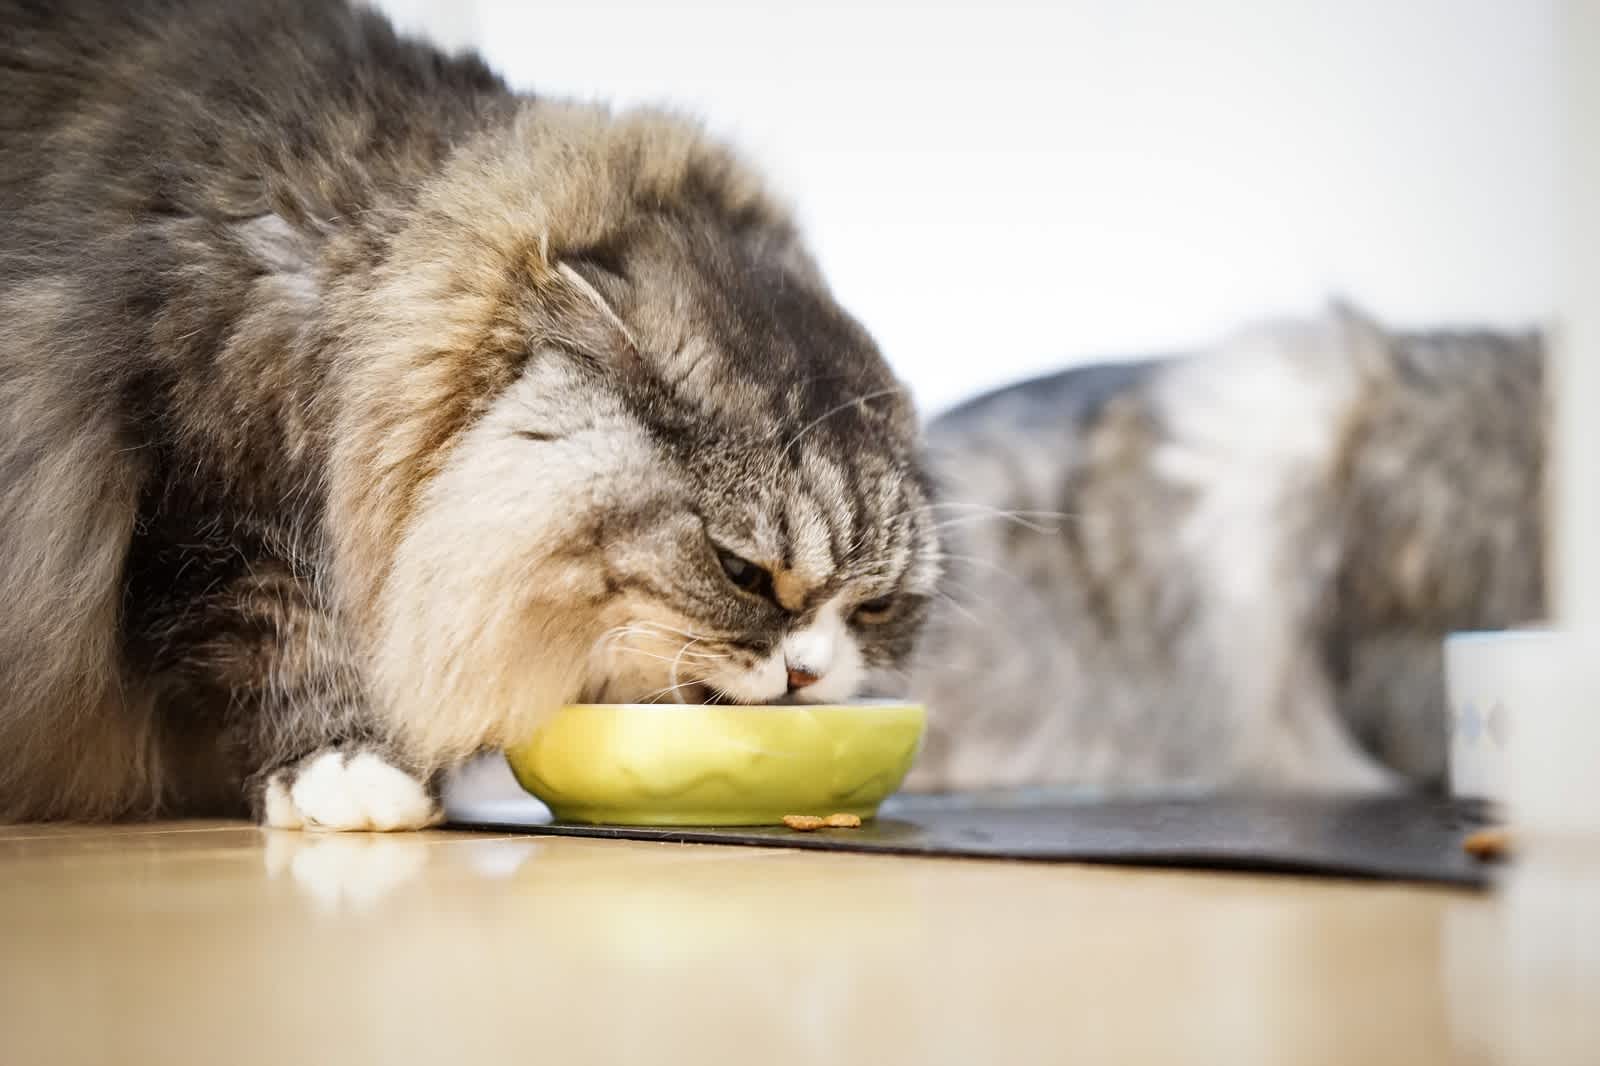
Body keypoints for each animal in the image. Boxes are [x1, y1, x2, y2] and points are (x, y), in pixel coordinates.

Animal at [0, 0, 934, 825]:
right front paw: (350, 772)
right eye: (739, 571)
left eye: (876, 609)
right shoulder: (194, 497)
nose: (810, 676)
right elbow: (285, 626)